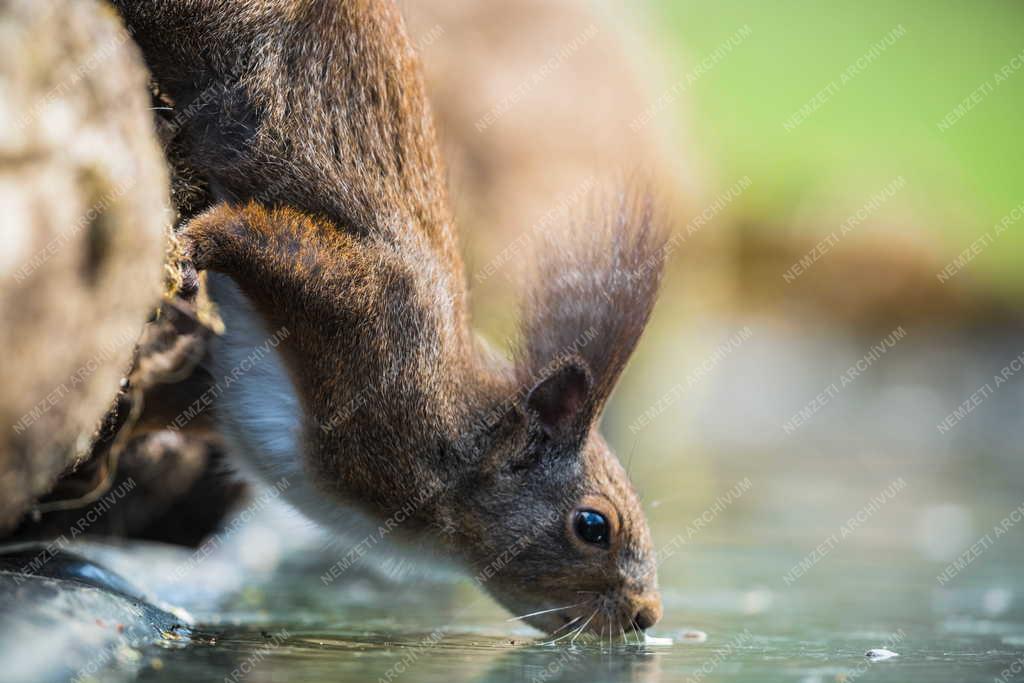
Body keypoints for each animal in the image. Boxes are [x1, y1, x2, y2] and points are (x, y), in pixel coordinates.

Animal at [112, 0, 667, 638]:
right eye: (593, 527)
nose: (647, 614)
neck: (450, 445)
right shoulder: (375, 313)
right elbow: (263, 238)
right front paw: (189, 247)